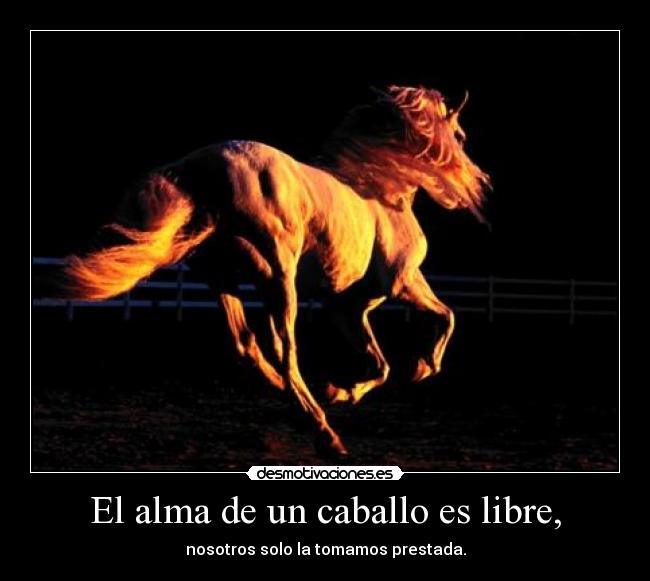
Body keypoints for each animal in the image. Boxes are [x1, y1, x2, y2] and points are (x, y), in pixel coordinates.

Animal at [55, 85, 490, 457]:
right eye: (461, 135)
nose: (476, 177)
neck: (383, 191)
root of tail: (202, 166)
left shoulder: (348, 307)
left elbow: (379, 363)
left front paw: (340, 390)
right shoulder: (401, 285)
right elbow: (446, 318)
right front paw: (420, 368)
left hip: (223, 276)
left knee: (246, 345)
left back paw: (299, 402)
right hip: (278, 276)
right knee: (285, 351)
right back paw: (323, 432)